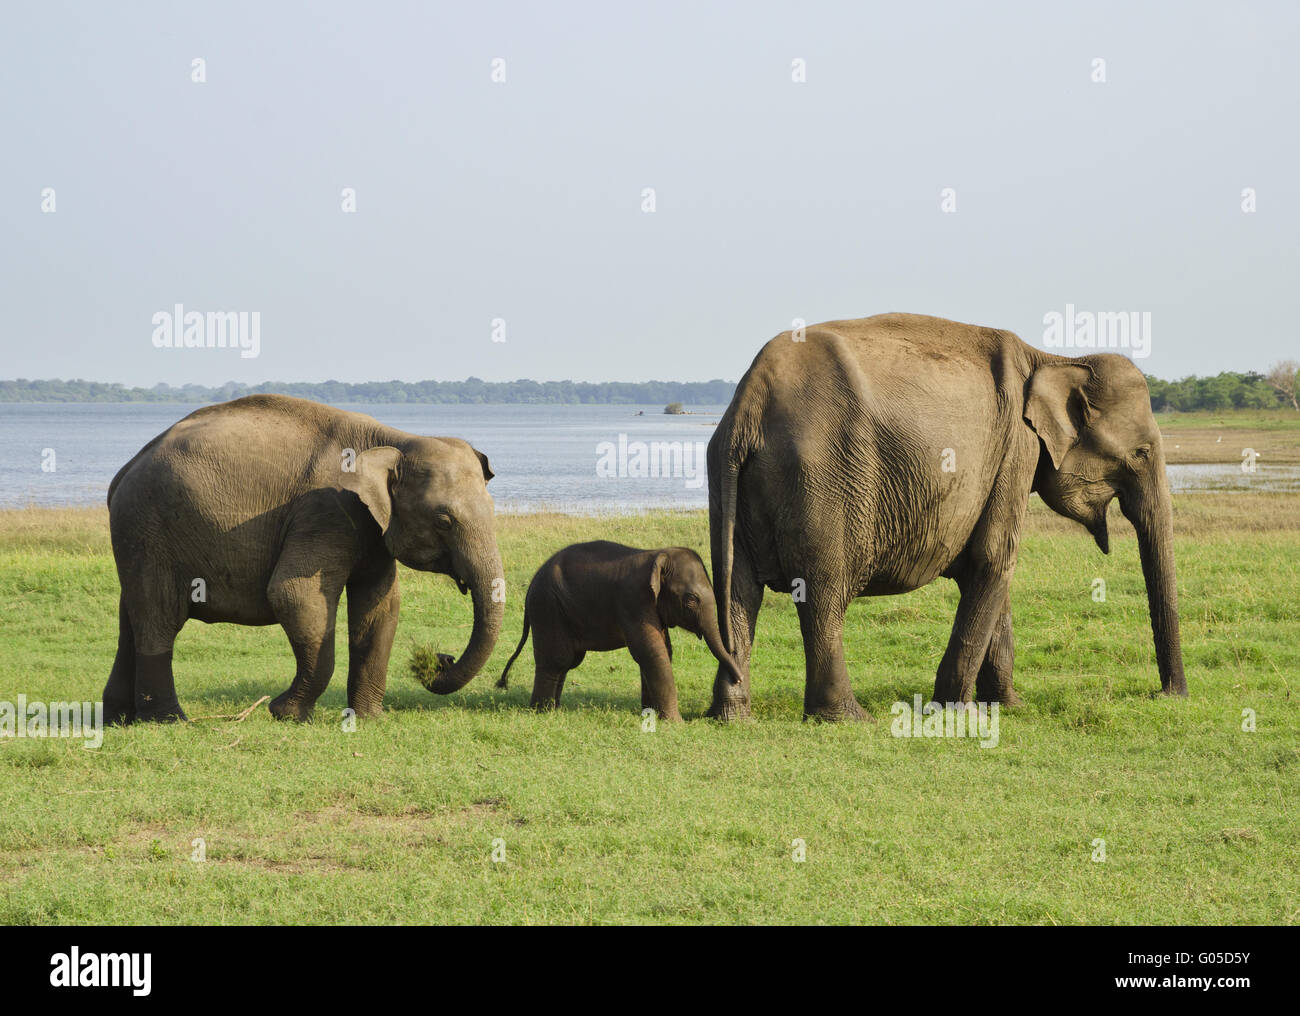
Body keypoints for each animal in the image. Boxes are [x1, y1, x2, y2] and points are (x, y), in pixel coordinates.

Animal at [102, 394, 501, 722]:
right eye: (444, 521)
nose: (439, 660)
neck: (394, 440)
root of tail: (125, 470)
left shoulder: (372, 529)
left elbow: (380, 607)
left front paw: (369, 719)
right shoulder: (325, 509)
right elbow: (293, 594)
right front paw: (286, 713)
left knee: (131, 619)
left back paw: (120, 718)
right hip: (147, 526)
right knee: (160, 615)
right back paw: (169, 720)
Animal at [493, 545, 748, 722]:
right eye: (691, 600)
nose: (739, 679)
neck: (658, 554)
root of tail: (531, 585)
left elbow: (660, 651)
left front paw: (650, 714)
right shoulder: (634, 600)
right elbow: (650, 652)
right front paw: (676, 724)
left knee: (566, 662)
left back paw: (553, 710)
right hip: (548, 608)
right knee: (556, 660)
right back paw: (543, 712)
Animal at [707, 314, 1185, 722]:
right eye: (1142, 452)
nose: (1166, 695)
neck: (1052, 358)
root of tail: (749, 405)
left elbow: (989, 570)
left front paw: (1009, 705)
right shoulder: (1017, 448)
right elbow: (996, 558)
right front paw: (960, 712)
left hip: (727, 481)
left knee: (737, 592)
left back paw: (732, 716)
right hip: (822, 482)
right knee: (822, 595)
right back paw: (847, 717)